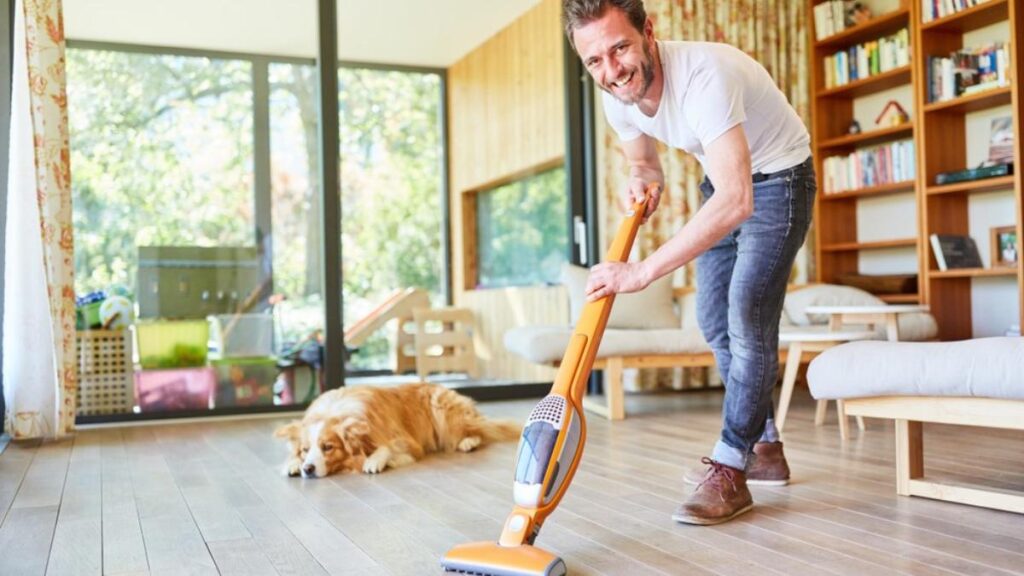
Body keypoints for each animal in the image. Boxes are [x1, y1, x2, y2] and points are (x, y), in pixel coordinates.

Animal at [272, 381, 520, 475]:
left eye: (328, 447)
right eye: (305, 450)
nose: (308, 469)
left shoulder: (406, 441)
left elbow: (387, 447)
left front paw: (376, 461)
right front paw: (292, 464)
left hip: (442, 409)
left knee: (480, 431)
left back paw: (468, 442)